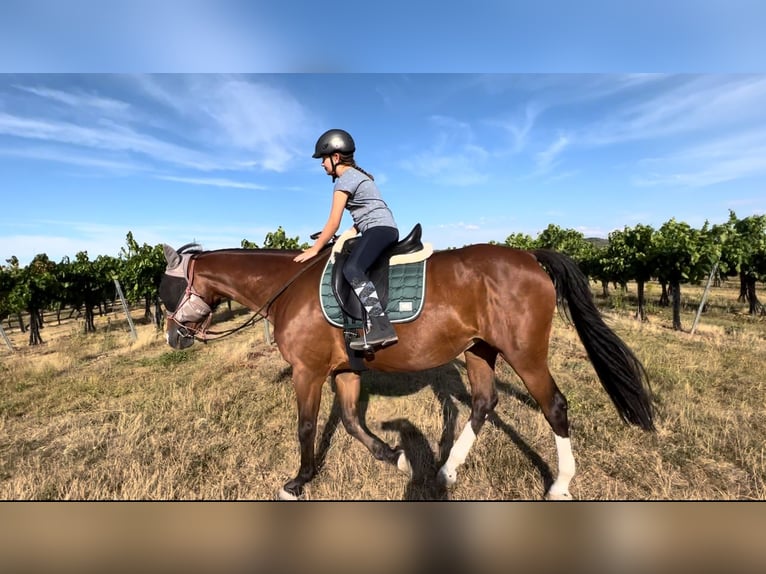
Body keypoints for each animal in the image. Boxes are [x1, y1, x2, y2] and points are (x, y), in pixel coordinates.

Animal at [160, 241, 656, 502]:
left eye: (165, 288)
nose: (172, 337)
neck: (287, 288)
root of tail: (531, 258)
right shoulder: (345, 370)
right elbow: (351, 420)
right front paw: (396, 457)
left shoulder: (309, 371)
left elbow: (306, 426)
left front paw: (298, 481)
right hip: (480, 350)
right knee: (483, 403)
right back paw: (445, 472)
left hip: (525, 354)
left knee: (554, 406)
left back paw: (560, 485)